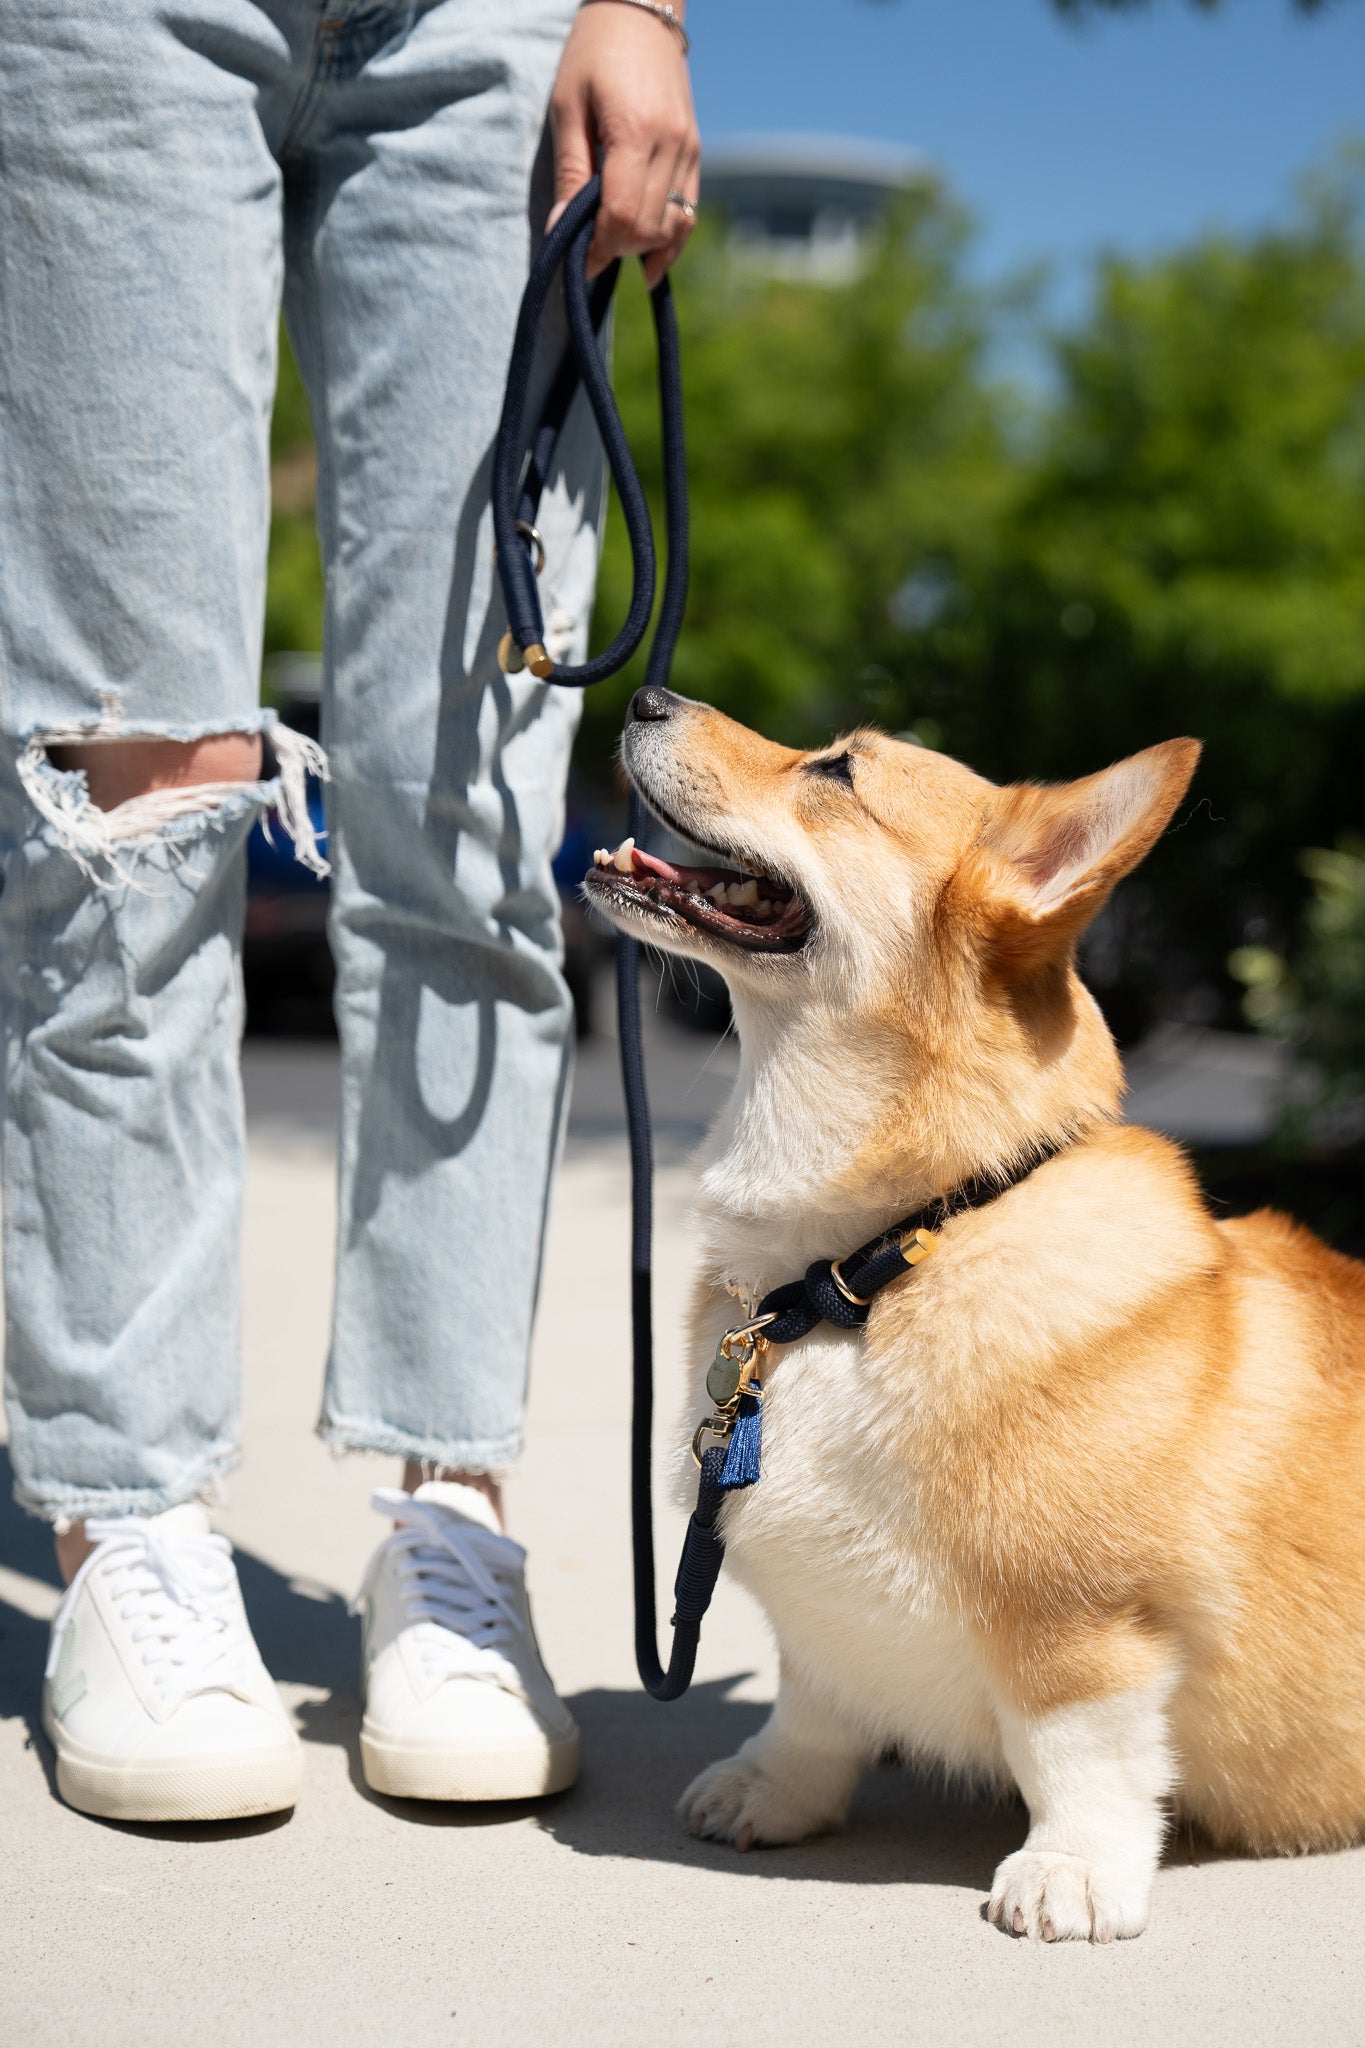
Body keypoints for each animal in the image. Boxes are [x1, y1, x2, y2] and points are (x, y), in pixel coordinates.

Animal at [585, 679, 1365, 1941]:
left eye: (838, 771)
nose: (647, 691)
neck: (879, 1257)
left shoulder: (1084, 1626)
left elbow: (1079, 1751)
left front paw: (1071, 1873)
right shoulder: (818, 1627)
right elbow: (812, 1700)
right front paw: (774, 1788)